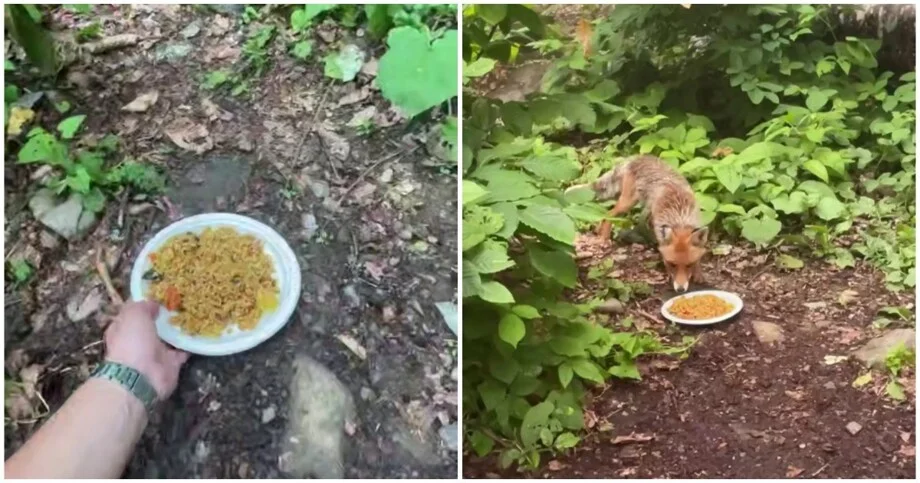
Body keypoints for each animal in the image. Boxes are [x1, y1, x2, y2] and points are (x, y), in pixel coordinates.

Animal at [567, 155, 708, 292]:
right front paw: (669, 274)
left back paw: (598, 231)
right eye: (672, 264)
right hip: (627, 203)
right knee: (609, 214)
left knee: (604, 214)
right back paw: (603, 238)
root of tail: (635, 158)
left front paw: (698, 273)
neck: (680, 217)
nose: (680, 289)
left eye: (689, 265)